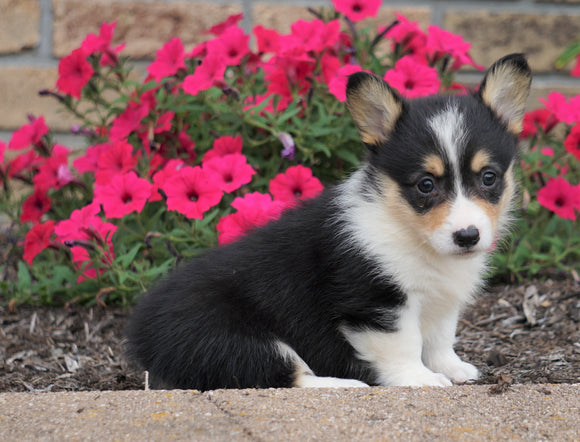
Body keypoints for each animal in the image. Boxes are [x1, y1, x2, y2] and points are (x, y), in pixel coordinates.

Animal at [125, 53, 532, 388]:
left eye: (489, 178)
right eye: (426, 185)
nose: (468, 236)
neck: (408, 230)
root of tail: (142, 335)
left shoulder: (443, 300)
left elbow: (440, 338)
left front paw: (454, 368)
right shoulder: (375, 301)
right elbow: (403, 344)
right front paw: (420, 379)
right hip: (236, 340)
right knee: (286, 376)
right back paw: (346, 384)